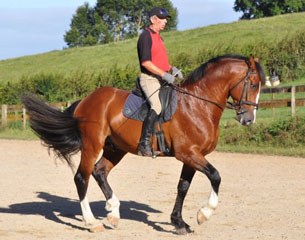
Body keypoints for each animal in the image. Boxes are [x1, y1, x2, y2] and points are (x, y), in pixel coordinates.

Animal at [22, 54, 264, 234]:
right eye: (253, 84)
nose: (249, 119)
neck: (197, 104)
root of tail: (86, 100)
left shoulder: (191, 156)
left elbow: (183, 187)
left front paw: (179, 223)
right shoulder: (188, 154)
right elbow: (215, 176)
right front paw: (204, 213)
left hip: (115, 148)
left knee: (100, 172)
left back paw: (113, 212)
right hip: (92, 145)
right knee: (82, 177)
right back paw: (92, 222)